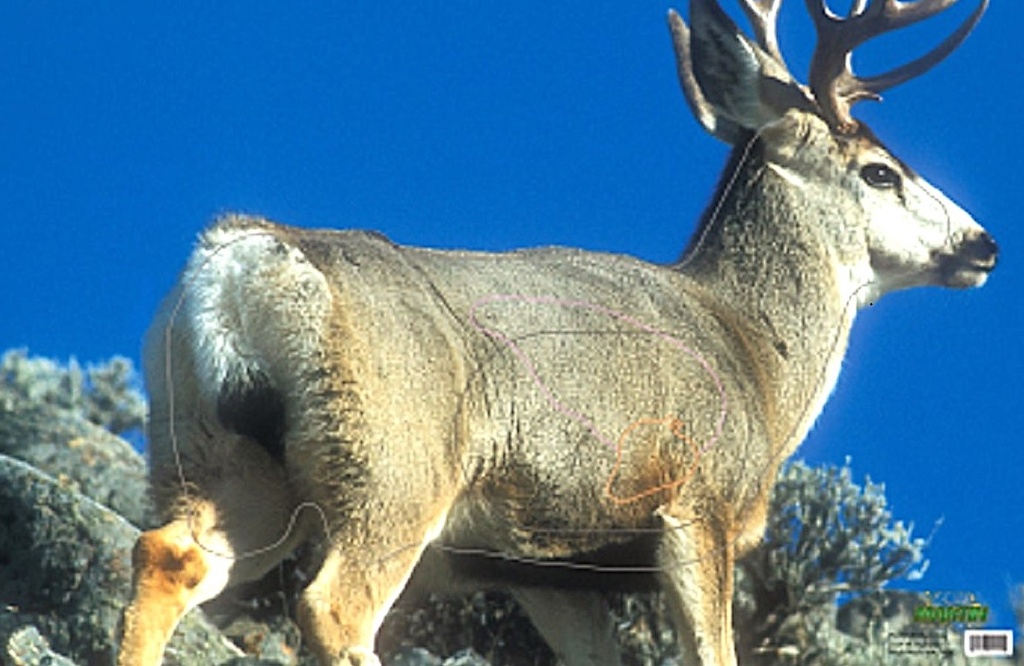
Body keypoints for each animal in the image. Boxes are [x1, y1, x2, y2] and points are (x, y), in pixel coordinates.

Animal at [118, 1, 996, 665]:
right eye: (881, 173)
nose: (983, 244)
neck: (756, 354)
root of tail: (244, 259)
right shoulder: (695, 502)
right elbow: (714, 652)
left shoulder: (546, 565)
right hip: (394, 467)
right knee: (335, 607)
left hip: (222, 455)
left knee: (166, 555)